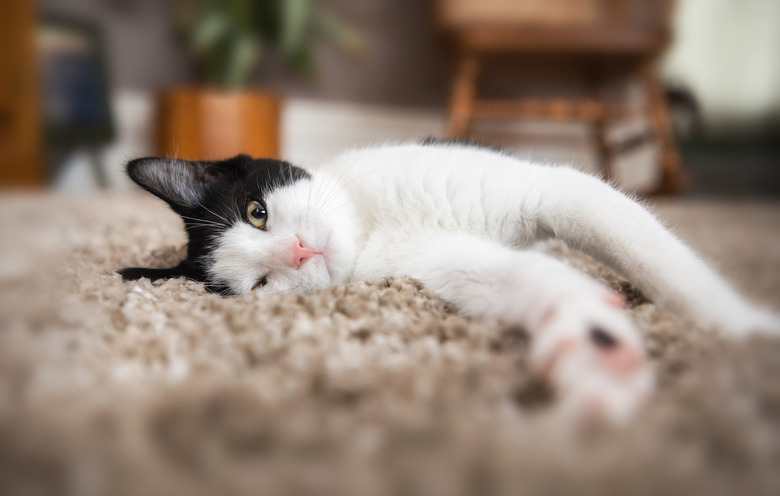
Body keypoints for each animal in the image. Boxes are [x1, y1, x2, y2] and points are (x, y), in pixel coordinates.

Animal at [120, 142, 780, 422]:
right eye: (259, 285)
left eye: (257, 211)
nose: (300, 250)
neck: (371, 225)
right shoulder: (434, 261)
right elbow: (515, 278)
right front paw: (593, 348)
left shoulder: (550, 190)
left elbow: (654, 254)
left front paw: (746, 330)